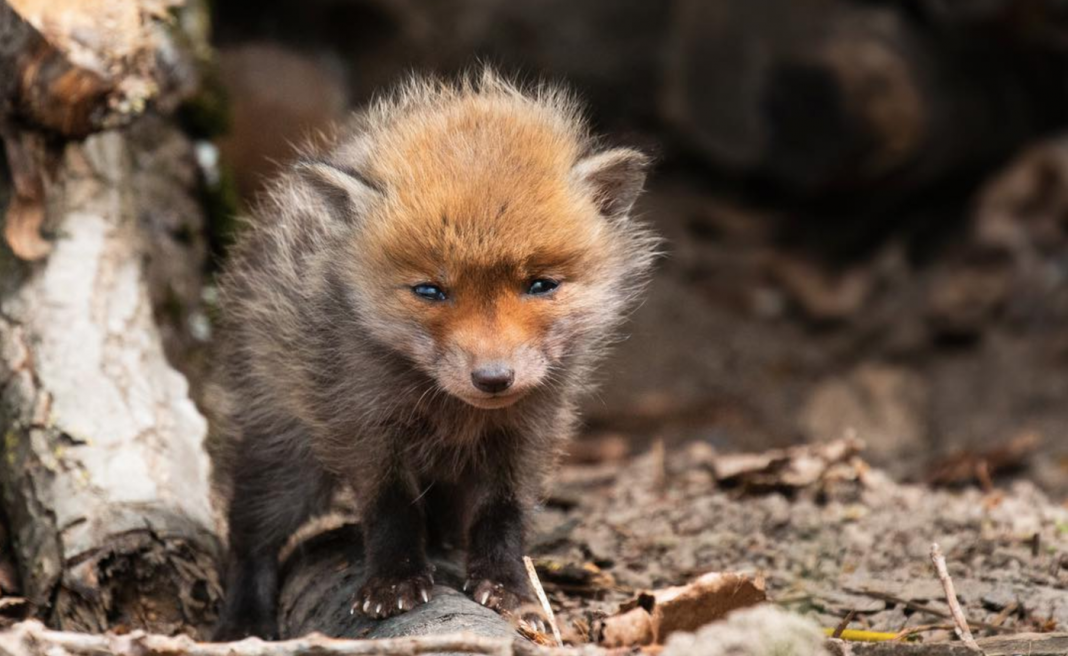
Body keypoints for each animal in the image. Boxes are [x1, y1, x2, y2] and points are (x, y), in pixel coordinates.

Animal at [211, 73, 653, 641]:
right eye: (429, 290)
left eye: (540, 285)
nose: (493, 378)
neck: (451, 411)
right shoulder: (364, 426)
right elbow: (392, 511)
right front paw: (394, 584)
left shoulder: (528, 433)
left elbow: (503, 516)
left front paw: (509, 591)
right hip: (286, 460)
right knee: (250, 536)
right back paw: (243, 620)